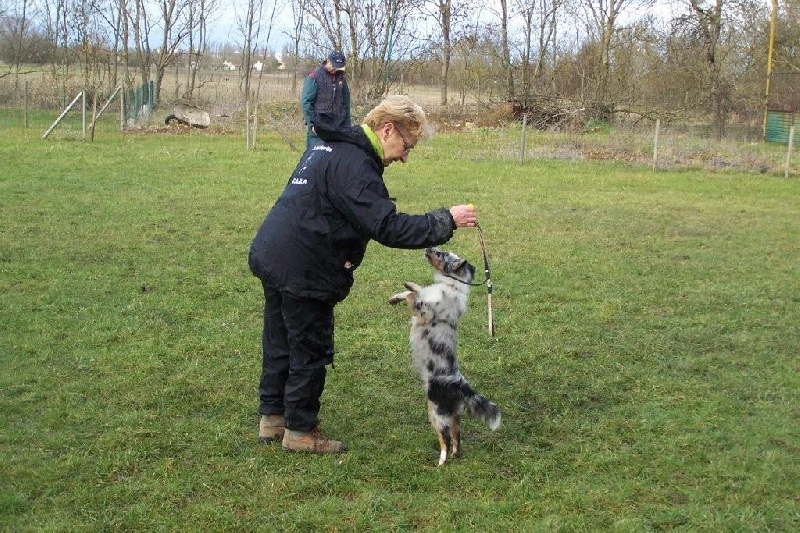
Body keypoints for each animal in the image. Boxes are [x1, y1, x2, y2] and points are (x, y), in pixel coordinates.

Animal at [390, 247, 500, 464]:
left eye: (441, 255)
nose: (428, 248)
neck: (449, 286)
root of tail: (459, 383)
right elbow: (415, 289)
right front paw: (399, 292)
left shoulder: (424, 311)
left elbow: (412, 294)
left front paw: (403, 292)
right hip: (454, 414)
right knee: (457, 435)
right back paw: (455, 455)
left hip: (436, 413)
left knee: (445, 438)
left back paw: (442, 461)